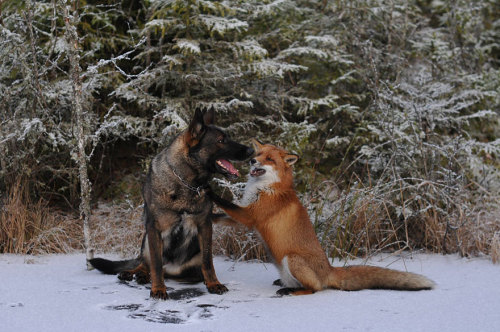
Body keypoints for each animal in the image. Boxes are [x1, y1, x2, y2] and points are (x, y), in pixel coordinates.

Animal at [89, 107, 254, 300]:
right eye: (221, 140)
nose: (251, 150)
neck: (186, 183)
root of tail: (171, 269)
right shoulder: (154, 228)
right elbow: (156, 264)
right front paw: (158, 288)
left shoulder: (205, 225)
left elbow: (208, 262)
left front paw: (214, 284)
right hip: (146, 242)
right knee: (146, 264)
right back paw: (135, 273)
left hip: (190, 265)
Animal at [211, 140, 434, 296]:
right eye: (258, 155)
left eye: (269, 159)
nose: (252, 160)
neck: (267, 188)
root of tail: (329, 268)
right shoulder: (243, 217)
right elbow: (221, 215)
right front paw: (210, 216)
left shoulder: (250, 216)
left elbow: (225, 203)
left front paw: (209, 191)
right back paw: (284, 284)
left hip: (292, 259)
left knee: (315, 288)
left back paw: (290, 291)